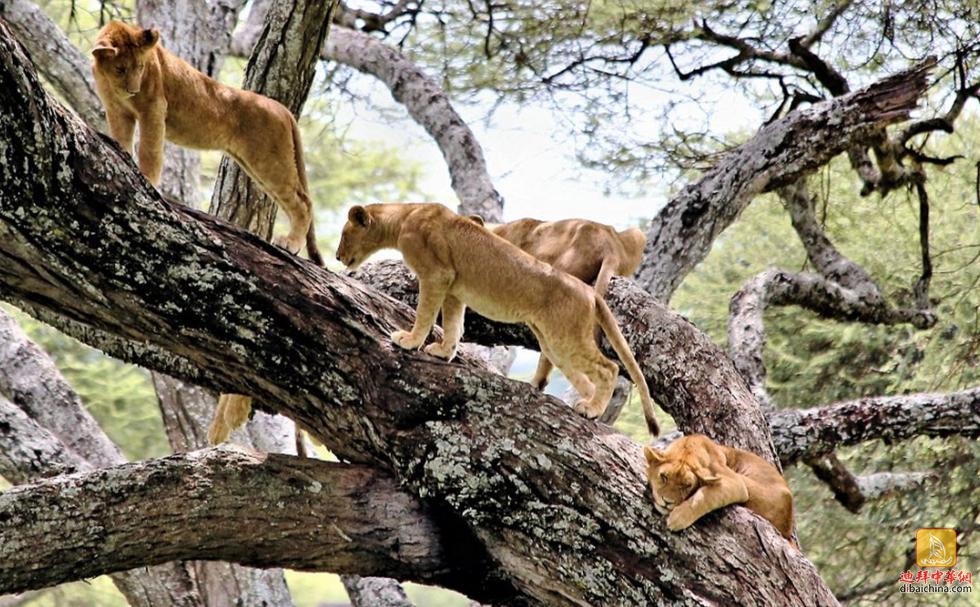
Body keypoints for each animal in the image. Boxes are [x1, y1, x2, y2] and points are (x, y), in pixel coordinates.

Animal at [91, 20, 322, 264]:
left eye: (140, 67)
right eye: (120, 69)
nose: (133, 90)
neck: (110, 81)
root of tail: (283, 109)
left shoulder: (154, 108)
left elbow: (149, 150)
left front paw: (147, 181)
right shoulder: (117, 111)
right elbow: (122, 140)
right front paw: (122, 158)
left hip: (270, 160)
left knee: (303, 202)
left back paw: (290, 243)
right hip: (257, 164)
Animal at [644, 434, 796, 544]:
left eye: (687, 485)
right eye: (664, 477)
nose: (667, 501)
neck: (691, 443)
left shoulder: (736, 482)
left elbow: (705, 495)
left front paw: (678, 517)